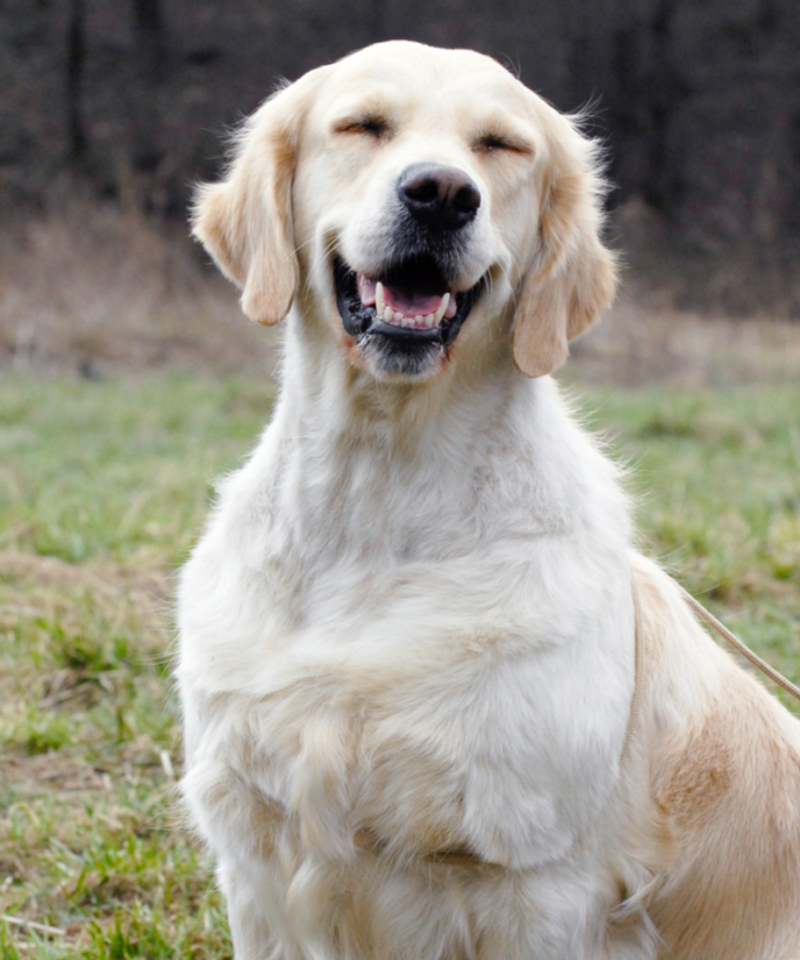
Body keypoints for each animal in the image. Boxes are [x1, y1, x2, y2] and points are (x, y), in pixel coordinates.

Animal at [178, 41, 800, 956]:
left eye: (501, 145)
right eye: (363, 125)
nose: (441, 194)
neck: (379, 493)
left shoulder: (532, 881)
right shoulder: (255, 860)